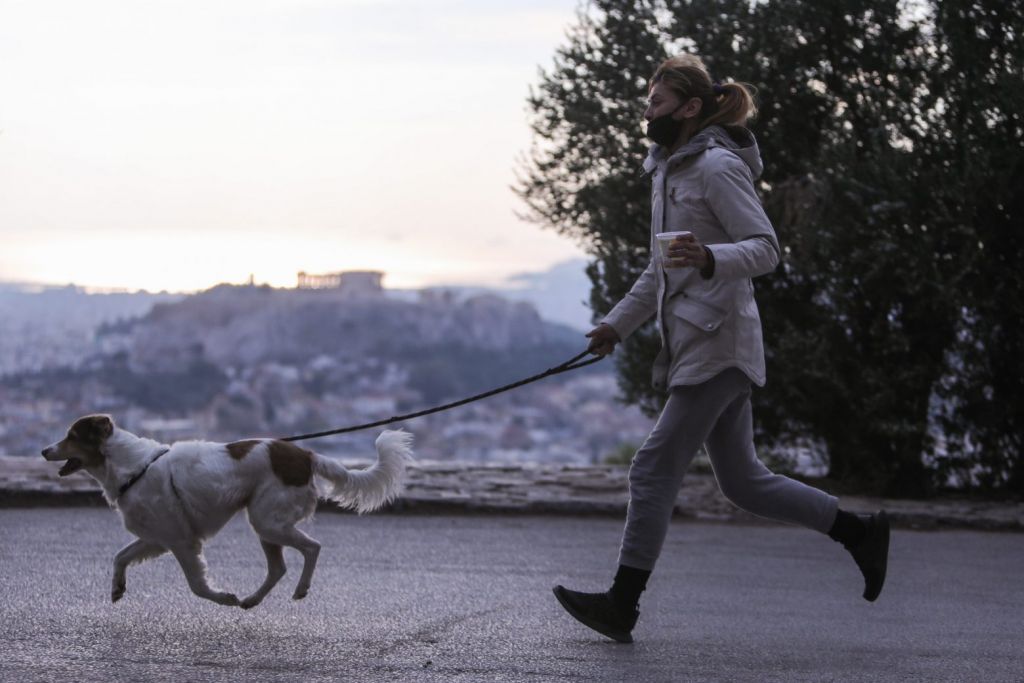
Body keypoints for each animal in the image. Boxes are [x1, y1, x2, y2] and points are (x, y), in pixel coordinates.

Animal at [40, 413, 411, 606]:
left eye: (71, 435)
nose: (44, 450)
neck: (133, 467)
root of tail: (305, 455)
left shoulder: (182, 542)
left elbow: (197, 585)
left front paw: (223, 597)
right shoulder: (157, 539)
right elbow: (119, 556)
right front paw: (117, 588)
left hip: (268, 520)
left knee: (312, 548)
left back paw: (299, 590)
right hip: (265, 523)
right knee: (278, 568)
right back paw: (252, 600)